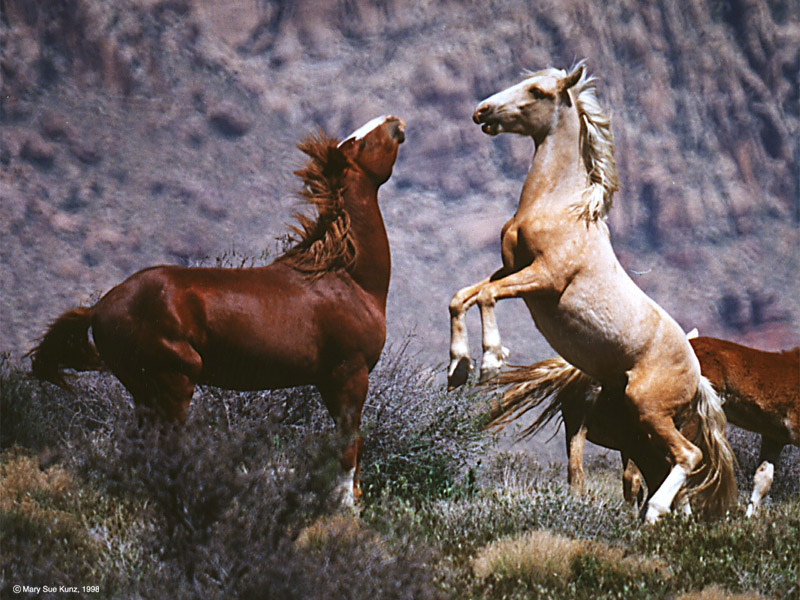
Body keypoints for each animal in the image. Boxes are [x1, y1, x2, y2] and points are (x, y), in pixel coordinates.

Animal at [29, 115, 406, 504]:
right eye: (360, 143)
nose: (394, 121)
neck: (345, 278)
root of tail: (101, 306)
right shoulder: (349, 375)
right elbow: (349, 446)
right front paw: (345, 505)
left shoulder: (330, 381)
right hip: (174, 382)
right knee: (164, 446)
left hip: (144, 391)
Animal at [446, 61, 736, 520]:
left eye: (537, 90)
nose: (482, 111)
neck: (560, 207)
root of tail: (698, 380)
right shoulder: (511, 270)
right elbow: (463, 296)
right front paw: (458, 366)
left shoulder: (543, 278)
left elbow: (487, 297)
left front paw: (490, 361)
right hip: (638, 427)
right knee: (665, 466)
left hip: (649, 409)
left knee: (688, 457)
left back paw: (654, 513)